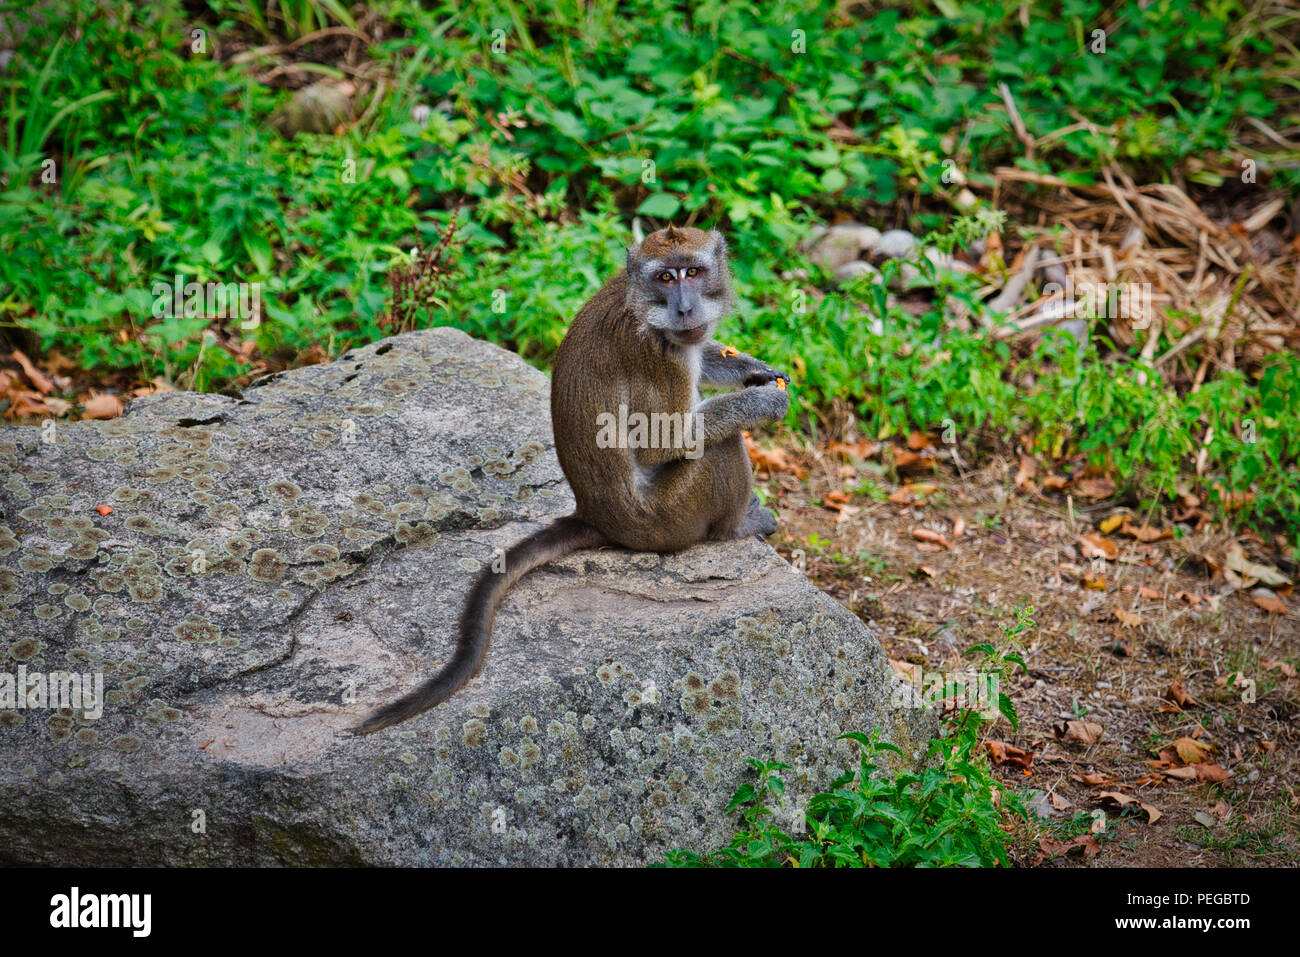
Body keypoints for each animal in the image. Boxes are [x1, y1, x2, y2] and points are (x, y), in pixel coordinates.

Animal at [356, 225, 790, 733]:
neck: (640, 302)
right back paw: (735, 527)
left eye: (694, 272)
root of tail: (595, 515)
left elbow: (702, 353)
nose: (684, 308)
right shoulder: (656, 354)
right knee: (718, 446)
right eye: (665, 277)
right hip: (668, 517)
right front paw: (762, 402)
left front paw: (753, 368)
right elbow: (664, 441)